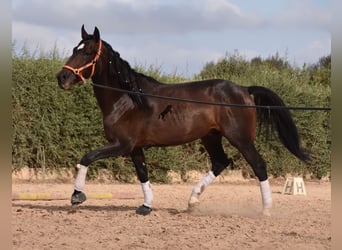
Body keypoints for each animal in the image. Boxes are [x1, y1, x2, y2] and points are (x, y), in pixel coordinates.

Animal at [56, 25, 310, 217]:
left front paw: (77, 195)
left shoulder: (122, 145)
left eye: (87, 52)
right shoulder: (135, 148)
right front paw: (146, 207)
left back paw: (266, 210)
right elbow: (143, 174)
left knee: (258, 165)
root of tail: (244, 89)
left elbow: (87, 157)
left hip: (240, 138)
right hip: (211, 137)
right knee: (220, 162)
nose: (62, 77)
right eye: (75, 49)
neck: (127, 99)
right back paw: (192, 201)